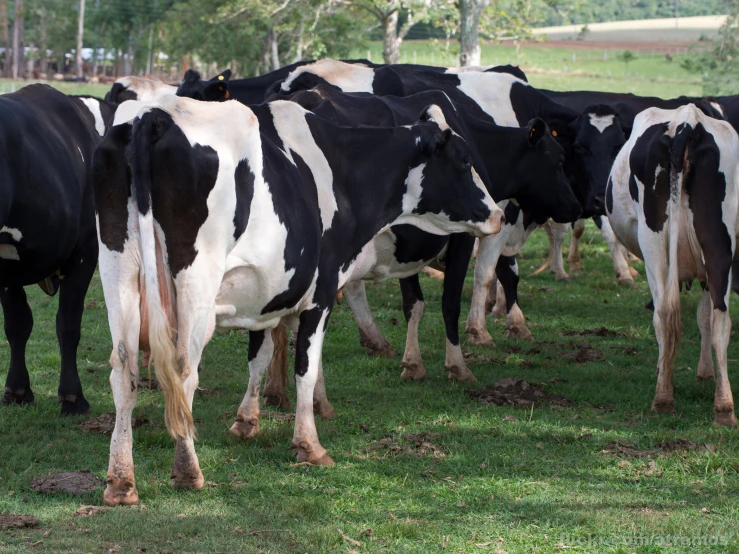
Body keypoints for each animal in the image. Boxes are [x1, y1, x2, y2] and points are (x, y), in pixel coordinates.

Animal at [95, 96, 506, 504]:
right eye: (464, 161)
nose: (500, 214)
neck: (342, 171)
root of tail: (155, 113)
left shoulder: (271, 295)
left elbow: (263, 355)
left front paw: (250, 419)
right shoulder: (321, 290)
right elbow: (304, 366)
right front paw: (309, 444)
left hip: (118, 274)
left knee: (124, 371)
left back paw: (121, 481)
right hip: (196, 282)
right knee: (182, 370)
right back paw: (187, 471)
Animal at [608, 103, 739, 422]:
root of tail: (687, 121)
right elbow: (704, 316)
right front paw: (705, 373)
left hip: (653, 242)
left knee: (665, 313)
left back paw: (664, 397)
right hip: (718, 244)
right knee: (720, 317)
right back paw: (723, 407)